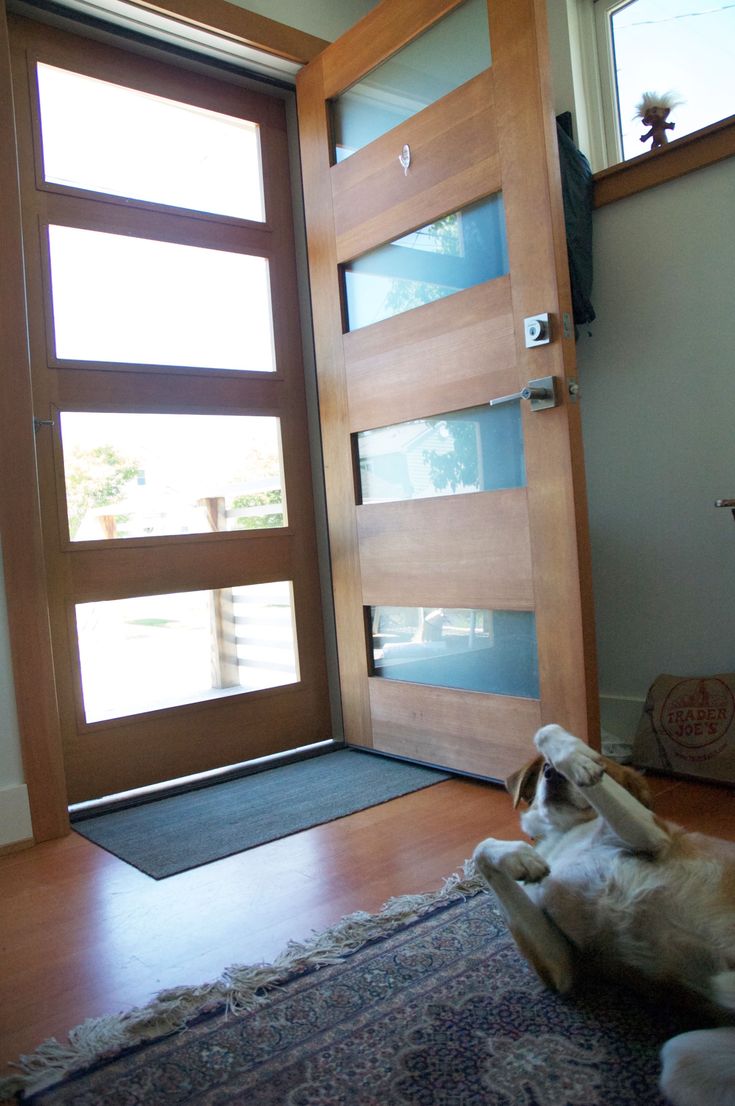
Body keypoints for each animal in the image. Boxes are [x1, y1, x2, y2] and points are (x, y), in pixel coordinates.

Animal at [470, 721, 733, 1101]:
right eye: (543, 767)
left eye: (603, 763)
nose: (552, 773)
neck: (567, 834)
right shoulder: (561, 966)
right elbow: (482, 848)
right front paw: (521, 858)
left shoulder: (652, 835)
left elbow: (546, 729)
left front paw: (577, 760)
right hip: (681, 1060)